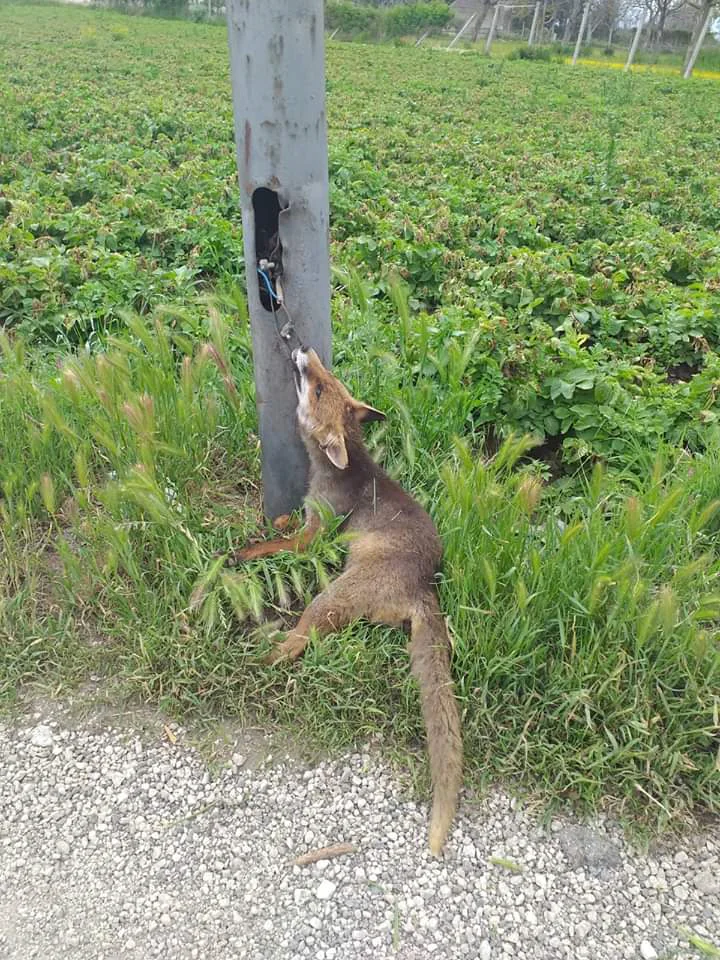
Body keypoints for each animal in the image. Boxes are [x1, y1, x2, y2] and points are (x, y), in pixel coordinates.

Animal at [232, 346, 462, 856]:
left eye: (319, 387)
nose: (302, 349)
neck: (348, 468)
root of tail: (424, 583)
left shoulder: (317, 535)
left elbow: (276, 546)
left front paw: (243, 553)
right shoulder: (306, 519)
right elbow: (282, 524)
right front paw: (268, 525)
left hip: (327, 598)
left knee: (299, 642)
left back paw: (262, 659)